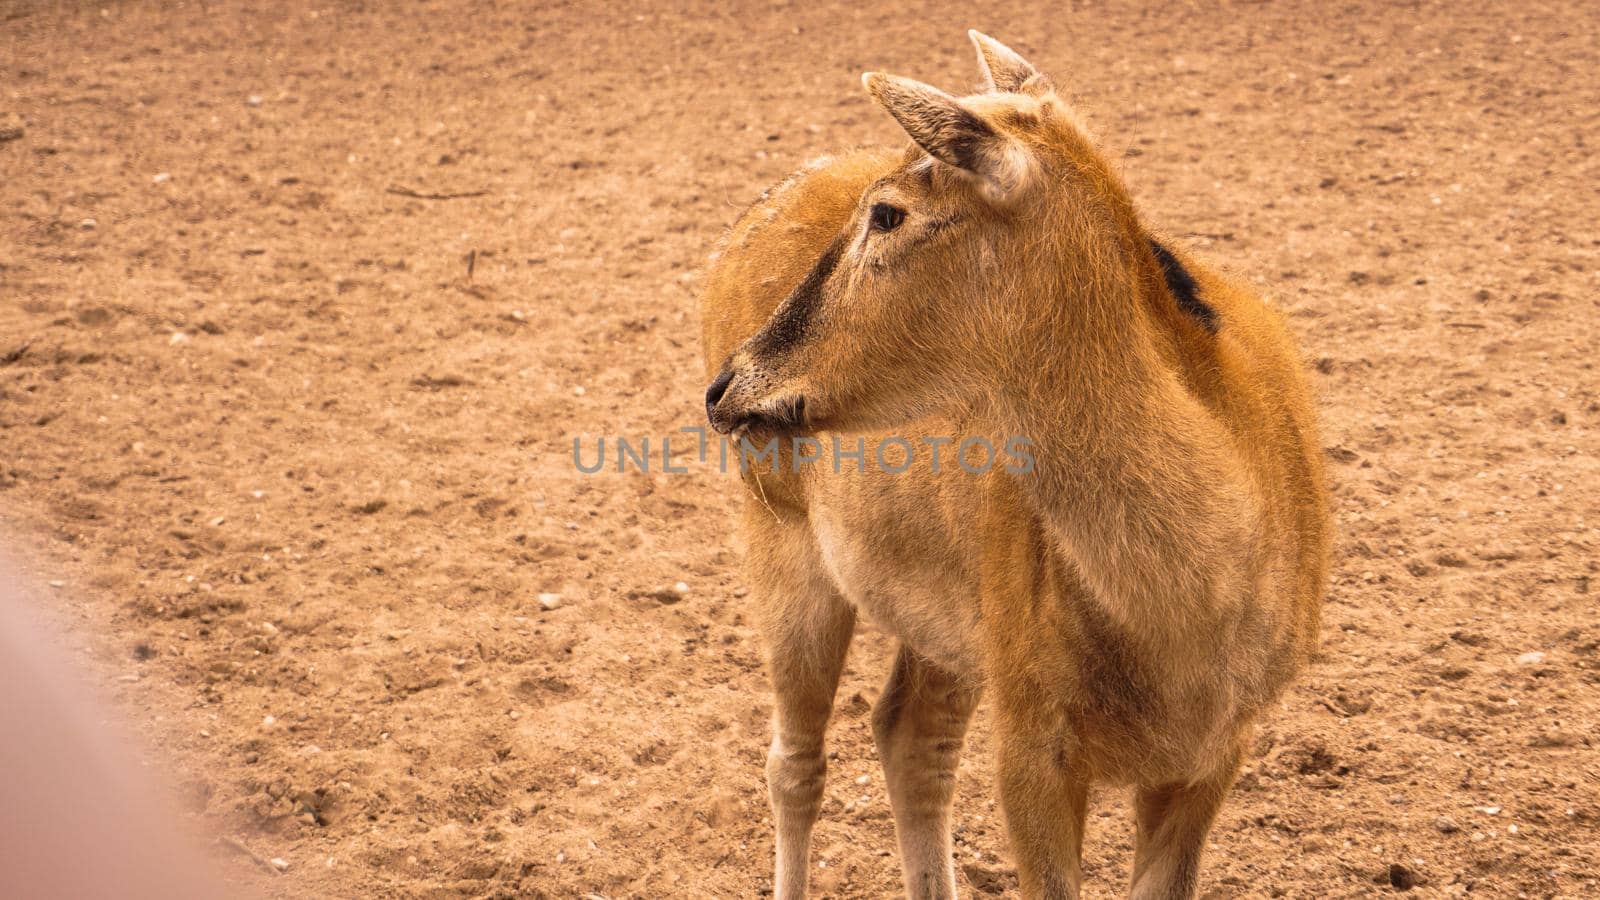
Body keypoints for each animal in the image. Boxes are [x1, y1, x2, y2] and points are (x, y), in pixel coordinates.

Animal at [704, 29, 1337, 896]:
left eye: (889, 212)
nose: (728, 383)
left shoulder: (1221, 747)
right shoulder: (1032, 737)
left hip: (956, 617)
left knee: (909, 733)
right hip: (780, 533)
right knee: (795, 765)